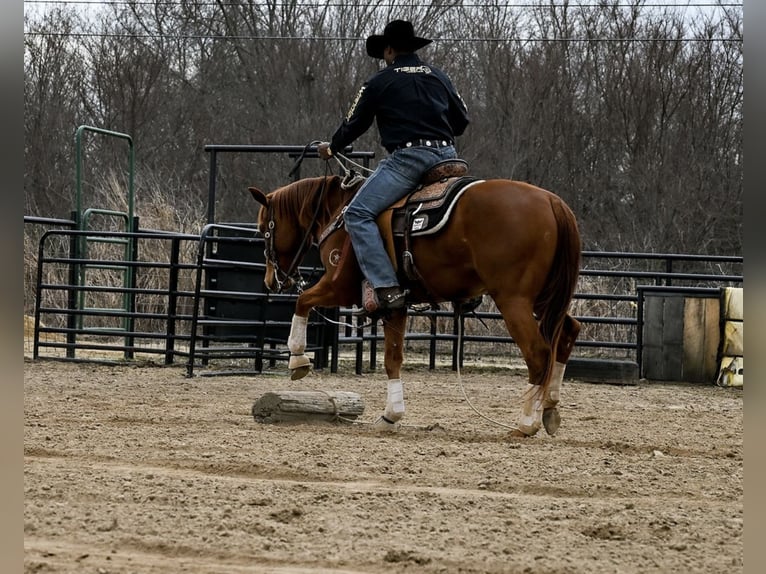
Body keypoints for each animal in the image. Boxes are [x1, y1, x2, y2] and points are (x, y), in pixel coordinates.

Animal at [248, 167, 582, 437]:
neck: (339, 211)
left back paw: (526, 423)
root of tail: (552, 202)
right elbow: (392, 358)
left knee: (538, 353)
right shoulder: (394, 303)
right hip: (545, 299)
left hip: (513, 300)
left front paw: (297, 359)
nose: (271, 280)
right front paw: (390, 416)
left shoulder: (338, 287)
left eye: (264, 230)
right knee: (568, 332)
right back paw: (550, 407)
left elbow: (303, 302)